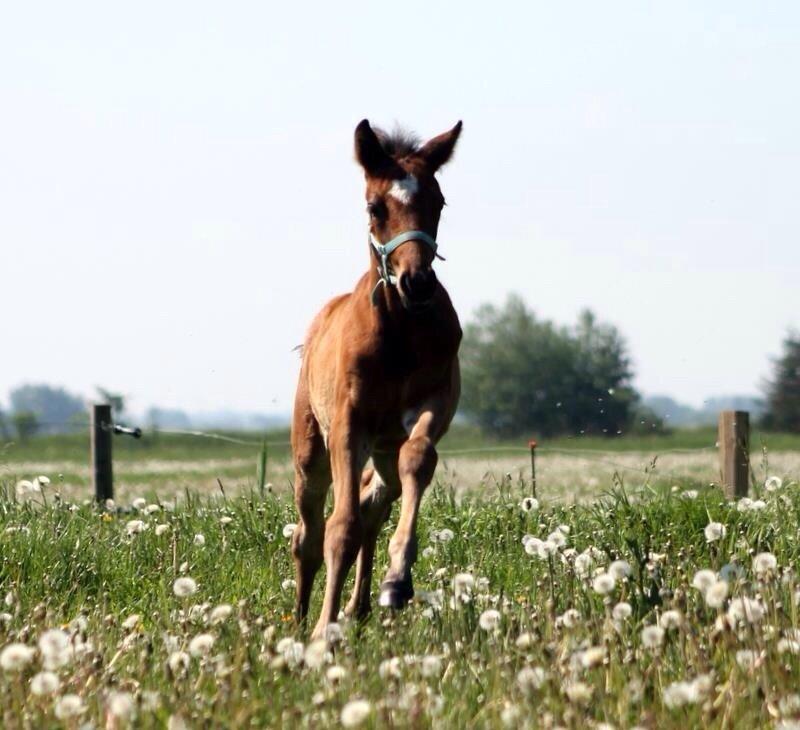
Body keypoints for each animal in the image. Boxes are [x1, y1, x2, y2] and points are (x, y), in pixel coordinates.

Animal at [290, 118, 462, 636]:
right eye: (374, 207)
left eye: (438, 202)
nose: (417, 282)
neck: (399, 334)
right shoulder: (349, 426)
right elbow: (339, 529)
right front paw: (322, 635)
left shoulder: (431, 403)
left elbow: (418, 459)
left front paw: (397, 580)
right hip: (312, 451)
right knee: (309, 531)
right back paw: (301, 619)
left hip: (382, 449)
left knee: (374, 501)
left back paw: (360, 606)